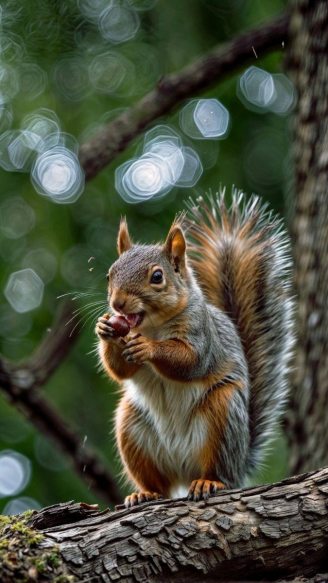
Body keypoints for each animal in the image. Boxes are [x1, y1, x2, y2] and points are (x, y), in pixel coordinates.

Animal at [95, 190, 294, 506]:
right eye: (109, 275)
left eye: (157, 277)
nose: (118, 304)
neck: (152, 326)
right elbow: (121, 370)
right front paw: (105, 330)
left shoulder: (202, 336)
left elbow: (190, 362)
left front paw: (149, 347)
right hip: (131, 426)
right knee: (159, 484)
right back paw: (144, 493)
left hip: (223, 414)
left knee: (217, 470)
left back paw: (208, 482)